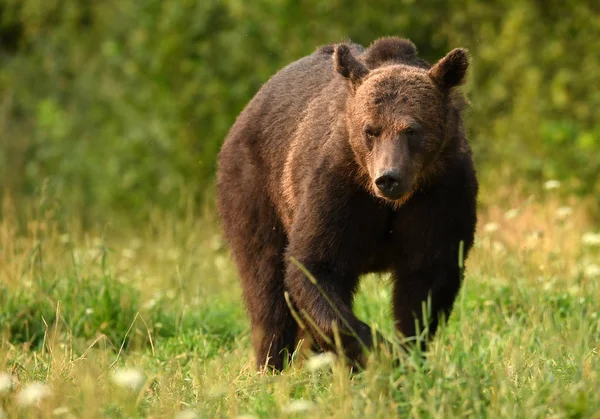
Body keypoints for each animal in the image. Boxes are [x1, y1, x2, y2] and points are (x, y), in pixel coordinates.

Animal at [216, 36, 478, 370]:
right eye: (371, 130)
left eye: (412, 130)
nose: (388, 178)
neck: (391, 204)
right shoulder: (340, 189)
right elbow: (315, 267)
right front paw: (376, 348)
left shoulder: (441, 194)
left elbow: (426, 278)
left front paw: (405, 352)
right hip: (256, 187)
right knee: (265, 280)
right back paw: (272, 363)